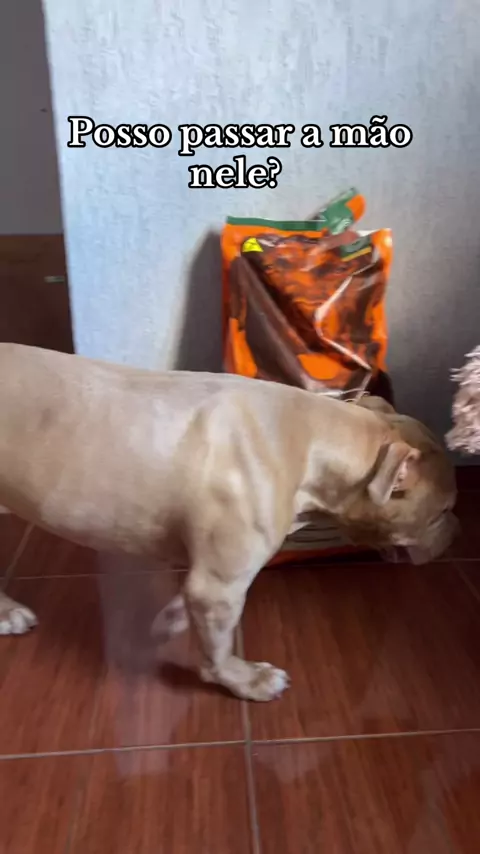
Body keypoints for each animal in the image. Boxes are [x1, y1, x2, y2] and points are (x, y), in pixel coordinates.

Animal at [0, 343, 457, 700]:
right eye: (442, 512)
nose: (457, 531)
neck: (312, 438)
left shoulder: (207, 575)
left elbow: (187, 603)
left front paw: (171, 620)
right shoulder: (218, 587)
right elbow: (218, 650)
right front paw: (244, 679)